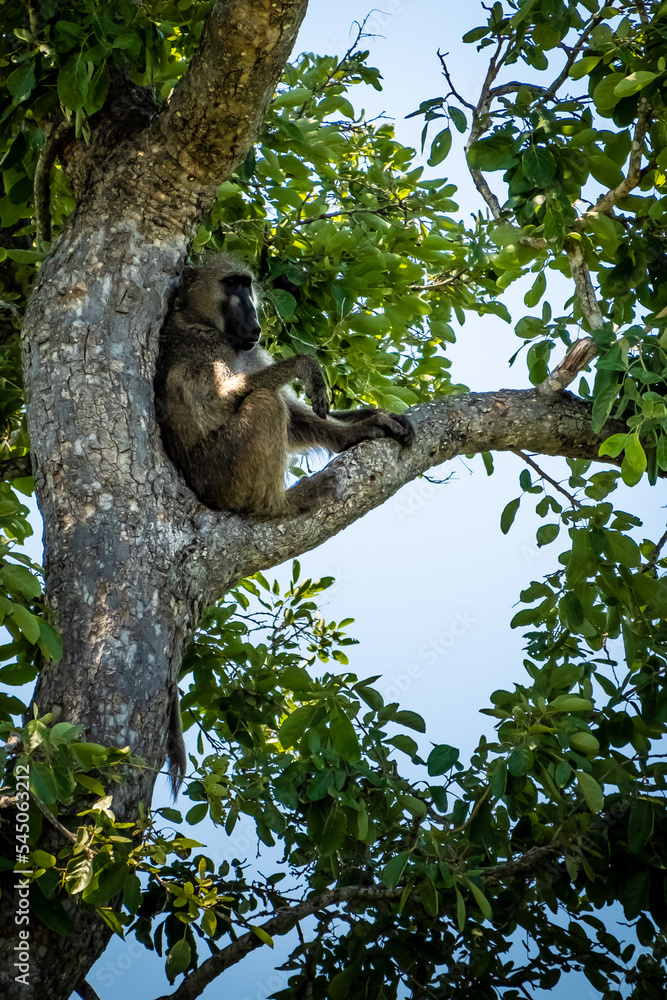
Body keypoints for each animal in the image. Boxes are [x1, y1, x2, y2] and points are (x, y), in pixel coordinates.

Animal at [154, 253, 415, 520]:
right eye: (231, 284)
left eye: (246, 284)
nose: (254, 325)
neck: (199, 319)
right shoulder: (204, 345)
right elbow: (215, 402)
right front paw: (305, 366)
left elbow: (297, 420)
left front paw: (366, 423)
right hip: (218, 474)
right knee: (265, 402)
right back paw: (277, 504)